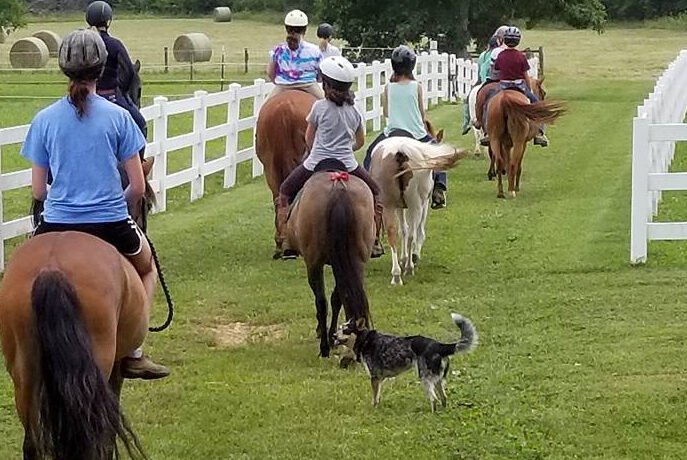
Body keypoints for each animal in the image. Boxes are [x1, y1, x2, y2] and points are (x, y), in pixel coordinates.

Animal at [0, 160, 157, 458]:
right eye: (147, 203)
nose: (143, 224)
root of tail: (51, 269)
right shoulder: (115, 367)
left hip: (23, 374)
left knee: (32, 443)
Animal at [288, 160, 378, 358]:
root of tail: (338, 189)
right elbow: (337, 298)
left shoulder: (315, 263)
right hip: (357, 260)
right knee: (343, 296)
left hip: (314, 262)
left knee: (321, 301)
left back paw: (324, 347)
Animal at [334, 314, 478, 412]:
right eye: (339, 328)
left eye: (345, 330)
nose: (334, 335)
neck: (365, 340)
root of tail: (438, 345)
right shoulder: (379, 379)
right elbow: (378, 397)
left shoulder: (374, 378)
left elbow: (374, 398)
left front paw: (373, 409)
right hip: (437, 380)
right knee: (443, 398)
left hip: (425, 378)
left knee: (434, 399)